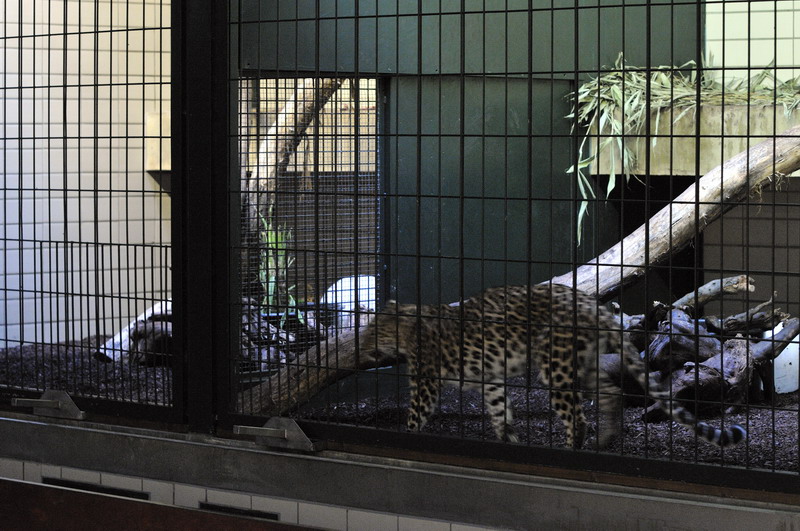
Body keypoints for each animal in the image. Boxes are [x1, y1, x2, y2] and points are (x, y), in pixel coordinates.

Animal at [358, 283, 747, 449]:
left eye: (371, 330)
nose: (362, 345)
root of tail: (591, 303)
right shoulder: (491, 380)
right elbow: (500, 413)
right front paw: (509, 441)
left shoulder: (425, 384)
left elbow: (415, 416)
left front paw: (407, 439)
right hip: (582, 364)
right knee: (610, 392)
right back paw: (606, 439)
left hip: (555, 367)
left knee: (577, 417)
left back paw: (573, 448)